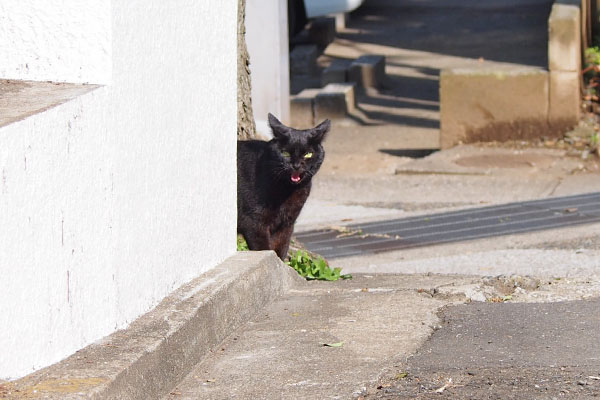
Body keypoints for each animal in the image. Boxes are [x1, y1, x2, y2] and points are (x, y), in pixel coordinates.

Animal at [237, 114, 330, 260]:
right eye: (285, 153)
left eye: (308, 154)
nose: (296, 165)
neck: (287, 190)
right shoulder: (254, 222)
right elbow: (265, 250)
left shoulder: (286, 225)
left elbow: (279, 251)